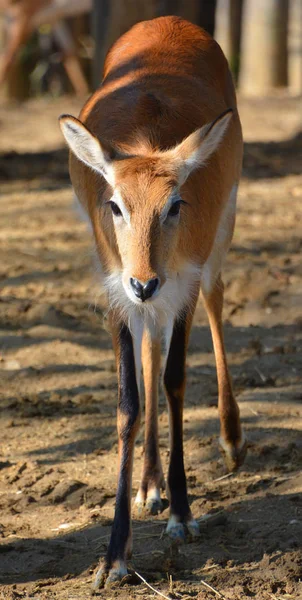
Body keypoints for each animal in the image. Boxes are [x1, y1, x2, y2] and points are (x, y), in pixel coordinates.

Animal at [59, 16, 248, 588]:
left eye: (176, 204)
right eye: (115, 204)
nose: (145, 282)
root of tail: (171, 20)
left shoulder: (181, 280)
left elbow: (176, 380)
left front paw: (183, 515)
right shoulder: (115, 289)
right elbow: (129, 400)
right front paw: (114, 556)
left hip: (220, 236)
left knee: (215, 298)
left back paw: (232, 442)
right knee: (150, 348)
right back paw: (149, 485)